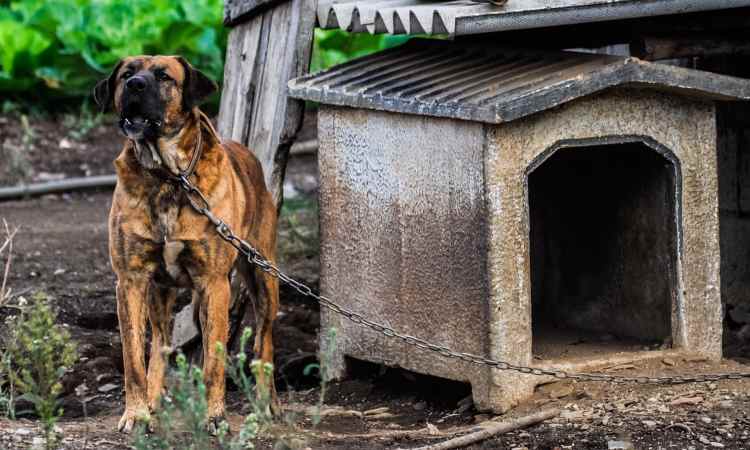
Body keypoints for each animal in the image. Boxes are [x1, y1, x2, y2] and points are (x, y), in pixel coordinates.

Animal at [93, 56, 280, 432]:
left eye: (164, 76)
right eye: (126, 74)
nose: (135, 85)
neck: (168, 177)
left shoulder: (214, 283)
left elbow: (214, 361)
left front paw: (216, 416)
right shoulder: (131, 280)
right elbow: (134, 357)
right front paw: (136, 413)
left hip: (263, 276)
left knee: (264, 342)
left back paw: (267, 404)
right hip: (159, 293)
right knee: (161, 344)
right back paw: (153, 401)